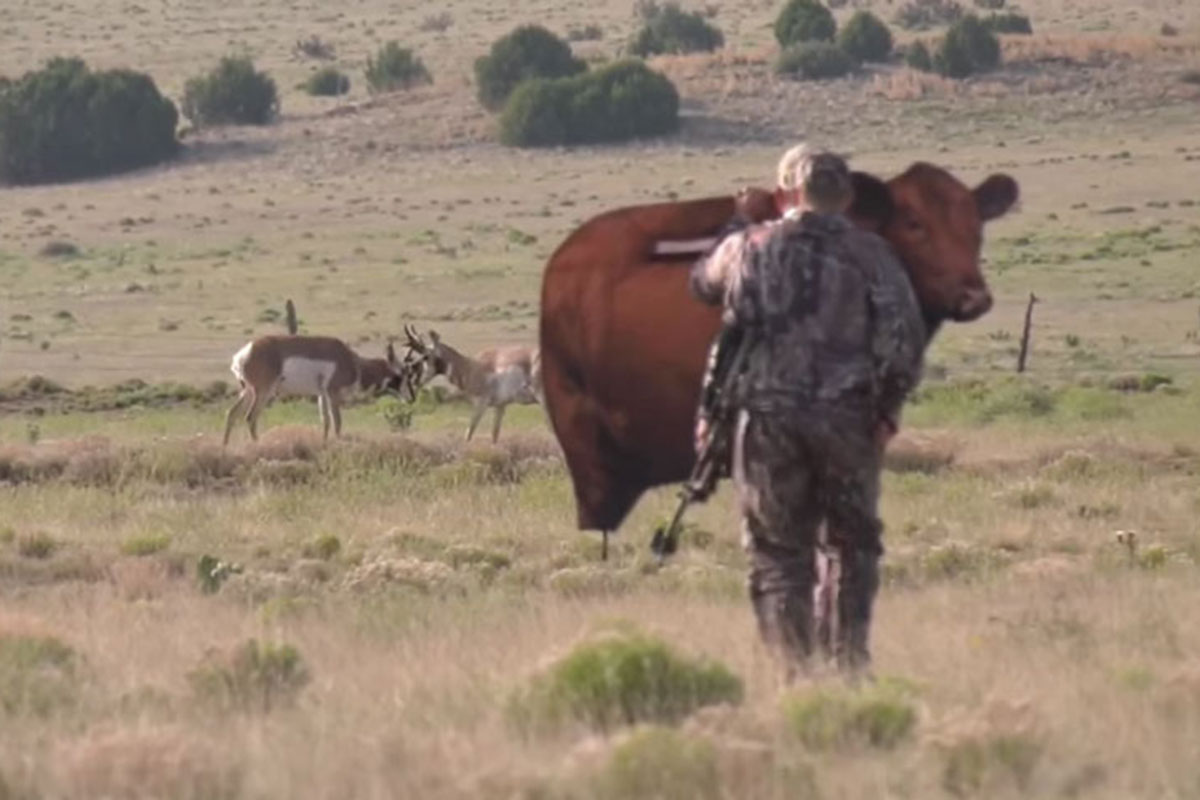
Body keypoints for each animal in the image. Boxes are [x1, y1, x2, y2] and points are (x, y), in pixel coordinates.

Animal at [224, 331, 417, 443]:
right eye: (404, 374)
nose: (412, 398)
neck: (353, 362)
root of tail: (245, 352)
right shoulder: (333, 394)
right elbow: (337, 422)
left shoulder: (321, 395)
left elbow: (325, 422)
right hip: (263, 393)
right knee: (250, 417)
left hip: (248, 391)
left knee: (232, 413)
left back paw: (224, 447)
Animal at [403, 323, 544, 443]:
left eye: (426, 356)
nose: (415, 381)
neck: (471, 367)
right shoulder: (500, 406)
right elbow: (494, 435)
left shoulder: (481, 404)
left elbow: (469, 433)